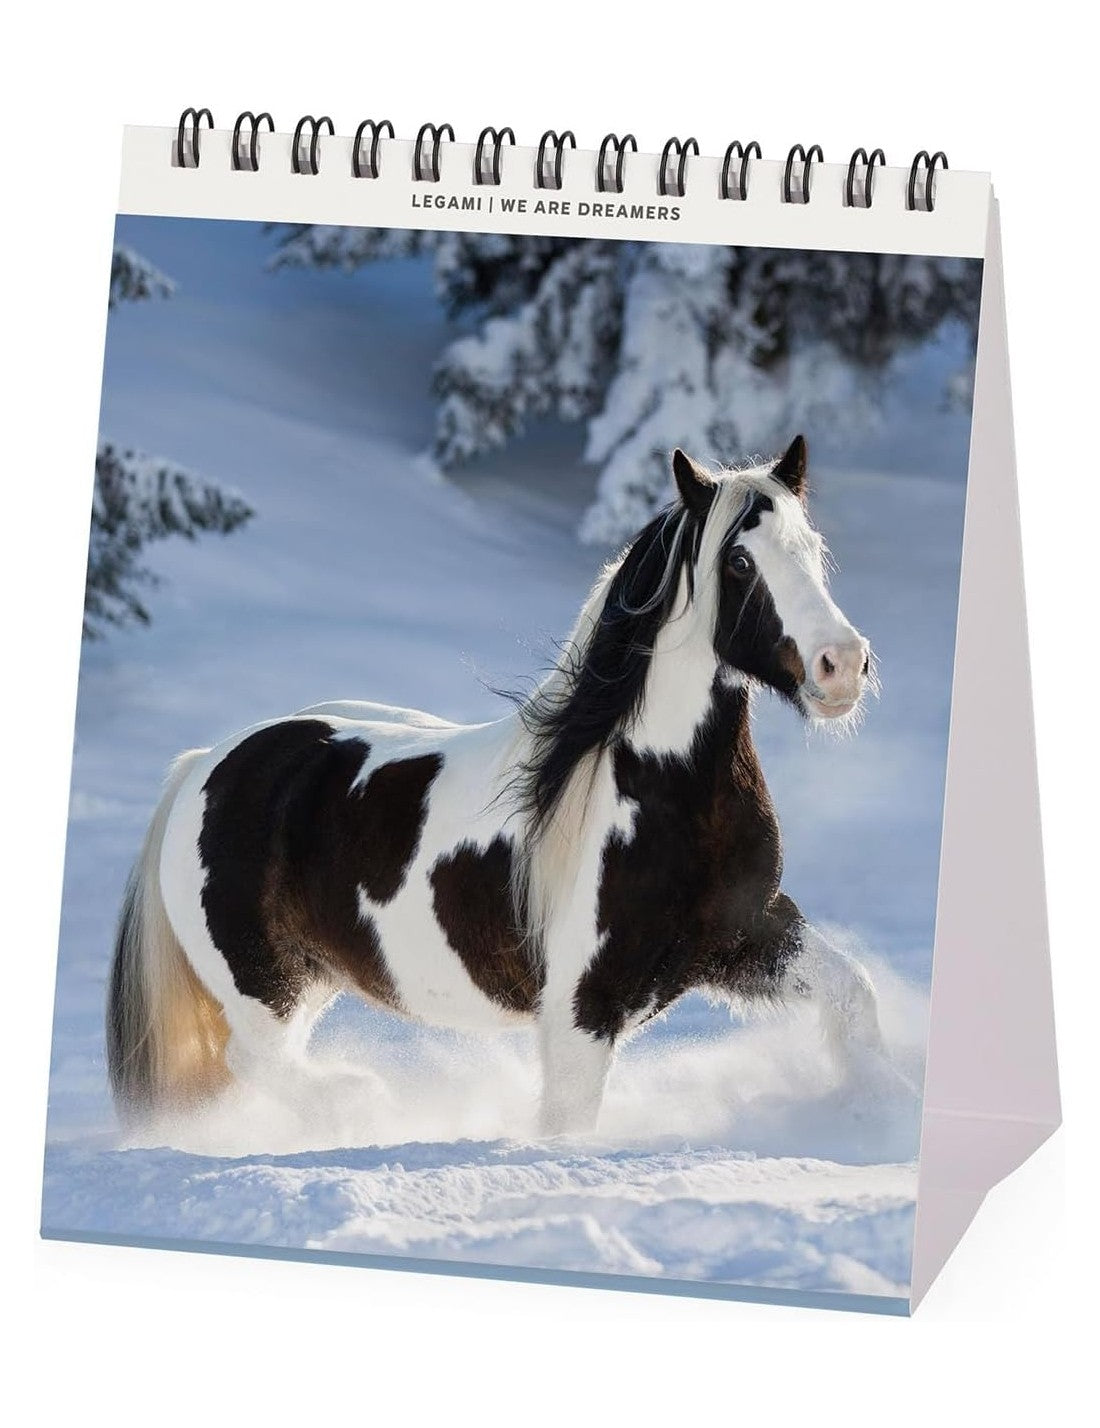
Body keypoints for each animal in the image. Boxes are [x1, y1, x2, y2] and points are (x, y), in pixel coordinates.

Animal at [107, 435, 889, 1137]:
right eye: (739, 560)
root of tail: (204, 763)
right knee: (254, 1062)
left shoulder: (747, 932)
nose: (842, 666)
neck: (666, 792)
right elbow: (567, 1130)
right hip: (263, 985)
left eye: (812, 550)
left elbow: (855, 995)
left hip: (305, 979)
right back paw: (361, 1105)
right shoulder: (582, 1009)